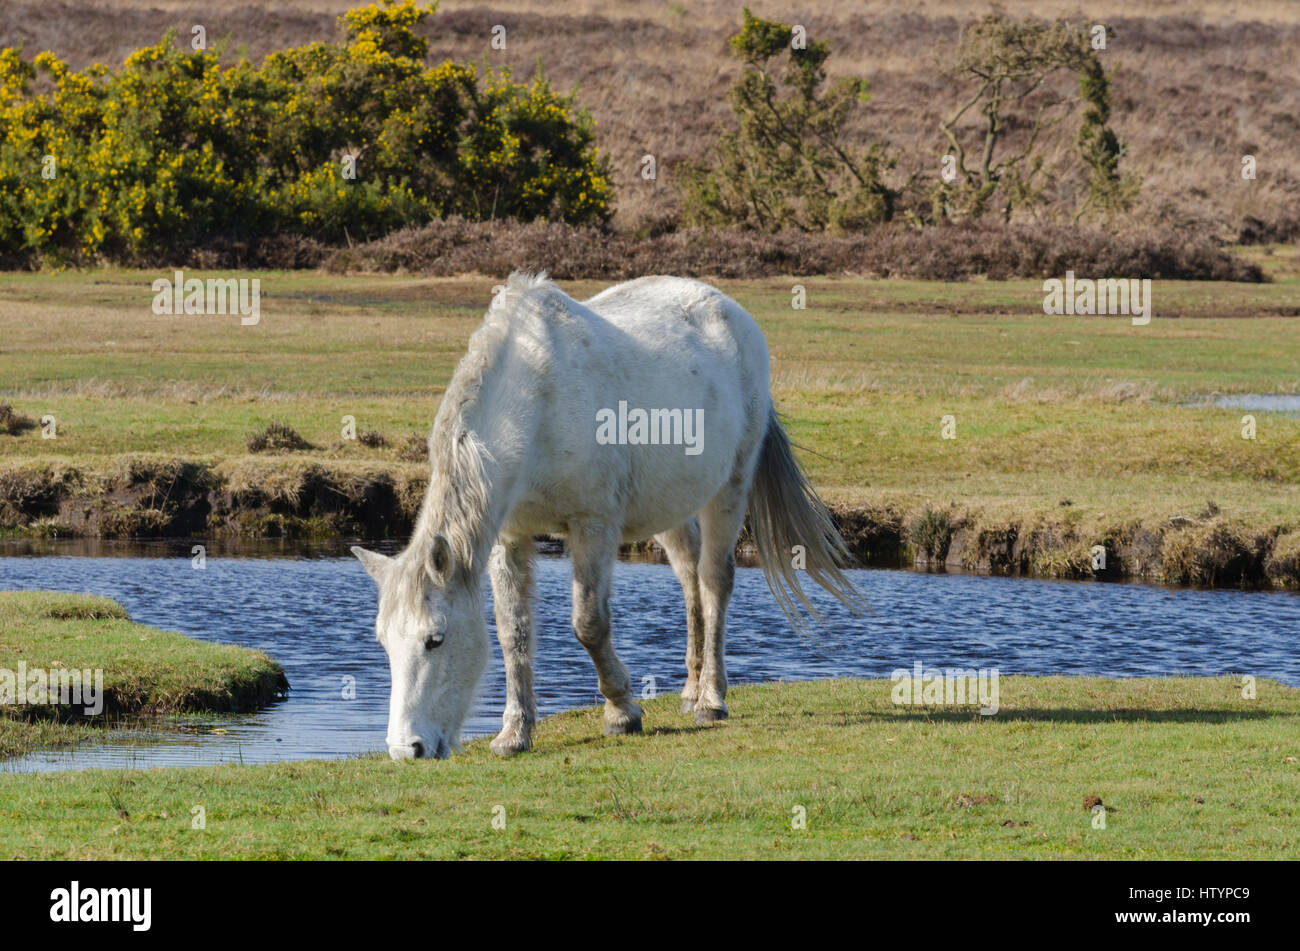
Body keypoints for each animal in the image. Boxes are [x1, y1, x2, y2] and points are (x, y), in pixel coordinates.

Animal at [356, 271, 863, 763]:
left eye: (435, 640)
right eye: (383, 643)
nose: (407, 749)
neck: (538, 401)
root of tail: (730, 311)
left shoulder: (593, 526)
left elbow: (589, 624)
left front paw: (622, 711)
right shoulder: (511, 535)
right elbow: (512, 632)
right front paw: (514, 733)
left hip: (729, 489)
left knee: (715, 582)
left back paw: (711, 699)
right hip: (672, 508)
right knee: (690, 581)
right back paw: (689, 690)